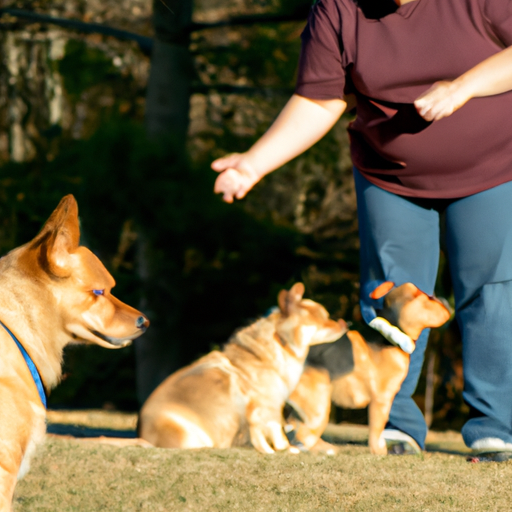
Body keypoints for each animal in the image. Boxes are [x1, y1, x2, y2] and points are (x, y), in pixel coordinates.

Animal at [138, 282, 344, 454]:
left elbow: (271, 430)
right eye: (321, 318)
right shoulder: (265, 405)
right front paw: (279, 449)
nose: (344, 322)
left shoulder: (269, 406)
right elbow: (273, 430)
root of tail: (143, 435)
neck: (281, 344)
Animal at [286, 284, 450, 456]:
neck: (390, 335)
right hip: (318, 404)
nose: (443, 300)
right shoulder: (382, 399)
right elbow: (377, 430)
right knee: (303, 432)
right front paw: (379, 451)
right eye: (428, 298)